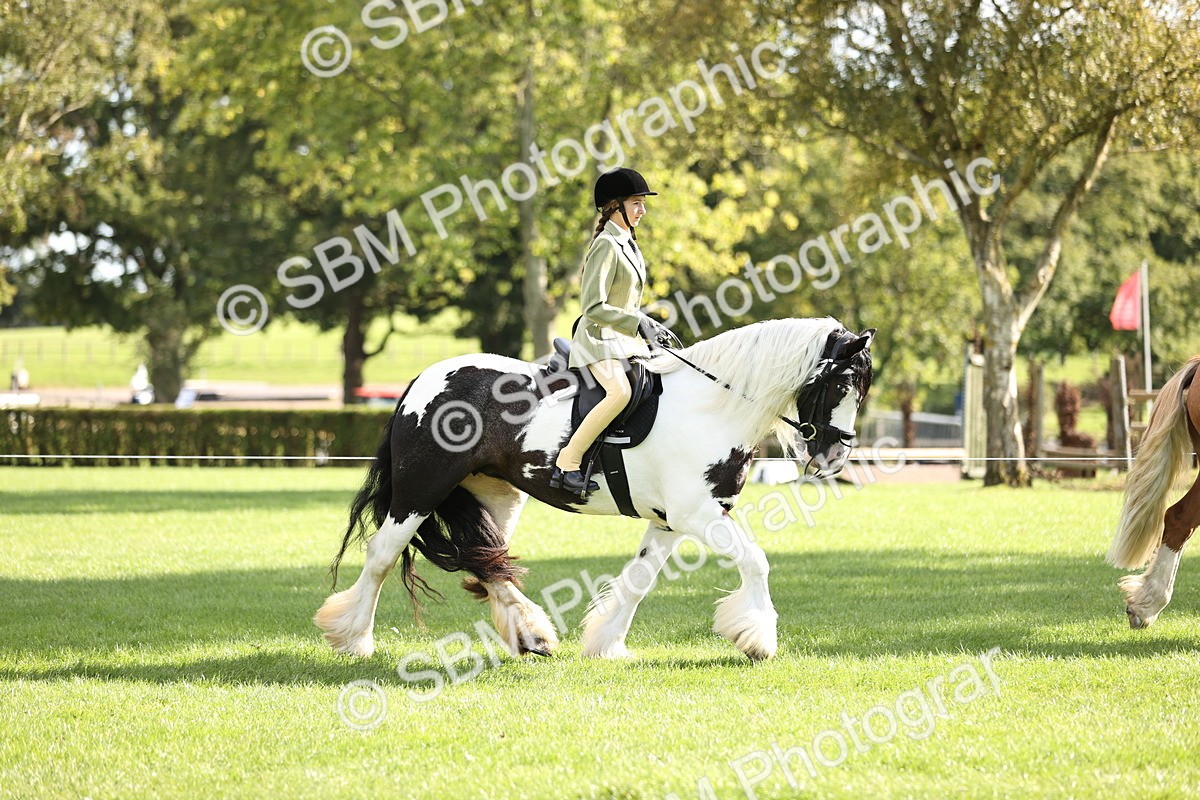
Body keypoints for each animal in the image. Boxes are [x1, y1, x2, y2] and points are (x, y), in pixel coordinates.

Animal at [314, 317, 875, 661]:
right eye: (842, 384)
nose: (835, 457)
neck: (711, 407)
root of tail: (423, 381)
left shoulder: (672, 523)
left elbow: (640, 580)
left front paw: (606, 644)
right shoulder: (697, 516)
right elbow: (756, 561)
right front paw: (758, 639)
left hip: (495, 495)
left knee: (486, 561)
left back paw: (532, 634)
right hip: (419, 492)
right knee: (383, 556)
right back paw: (354, 638)